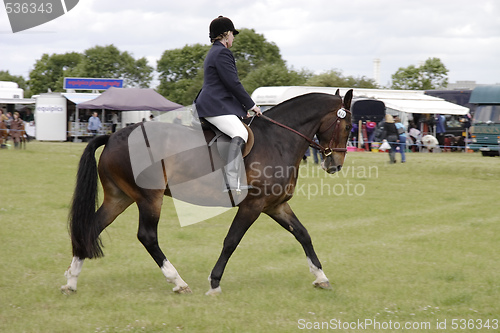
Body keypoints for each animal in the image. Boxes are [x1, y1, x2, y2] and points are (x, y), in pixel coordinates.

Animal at [60, 90, 354, 294]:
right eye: (349, 126)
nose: (335, 165)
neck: (277, 141)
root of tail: (113, 136)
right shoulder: (253, 205)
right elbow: (231, 241)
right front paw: (214, 283)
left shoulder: (275, 205)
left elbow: (303, 234)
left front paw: (321, 277)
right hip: (149, 198)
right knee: (147, 236)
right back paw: (178, 282)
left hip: (119, 198)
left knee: (91, 227)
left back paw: (71, 281)